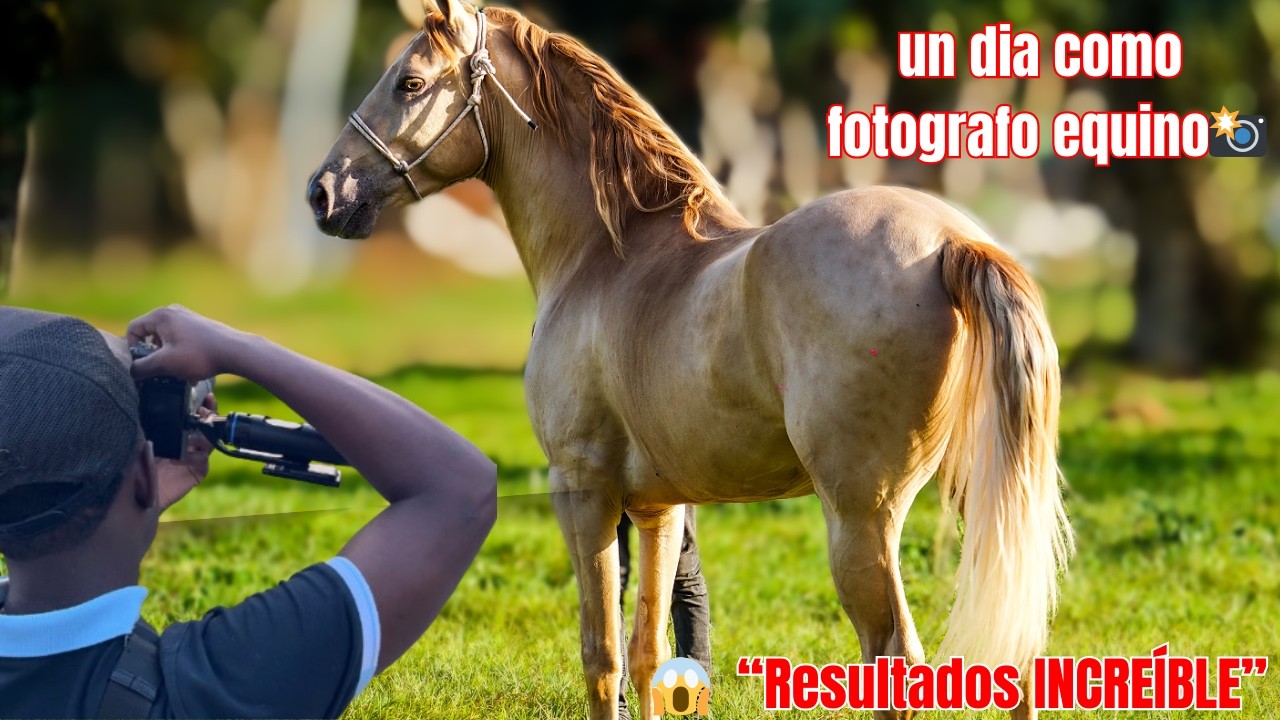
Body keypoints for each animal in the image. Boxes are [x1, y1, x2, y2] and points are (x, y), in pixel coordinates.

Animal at [308, 3, 1073, 718]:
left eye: (409, 82)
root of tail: (952, 243)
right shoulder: (659, 507)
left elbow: (603, 654)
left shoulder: (582, 491)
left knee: (894, 656)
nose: (324, 191)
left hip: (862, 517)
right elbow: (649, 652)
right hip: (987, 499)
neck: (610, 254)